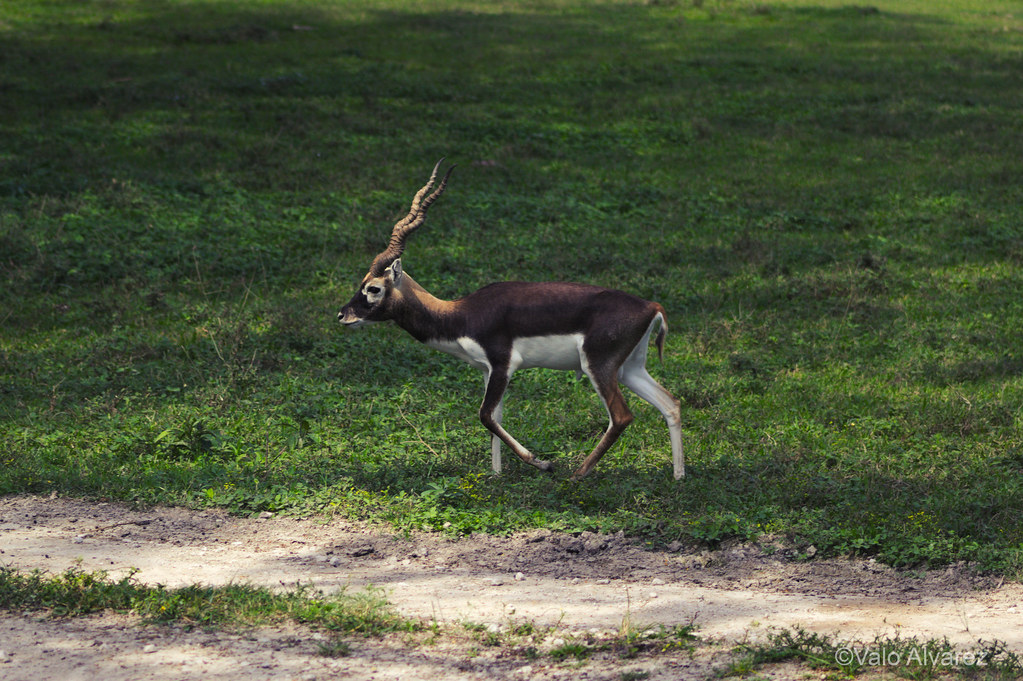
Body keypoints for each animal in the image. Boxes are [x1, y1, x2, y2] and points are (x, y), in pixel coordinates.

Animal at [339, 159, 683, 476]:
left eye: (373, 288)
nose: (343, 315)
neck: (461, 315)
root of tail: (651, 306)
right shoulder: (486, 370)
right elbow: (495, 419)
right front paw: (496, 475)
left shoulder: (503, 364)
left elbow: (485, 415)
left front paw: (541, 462)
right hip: (629, 369)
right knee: (671, 405)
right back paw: (679, 476)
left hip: (598, 366)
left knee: (622, 416)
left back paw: (577, 474)